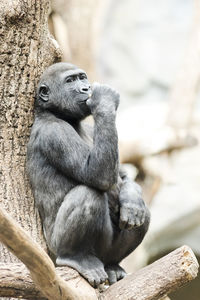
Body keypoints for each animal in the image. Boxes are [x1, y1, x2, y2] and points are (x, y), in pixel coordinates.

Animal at [27, 62, 151, 288]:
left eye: (82, 78)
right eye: (70, 81)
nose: (86, 88)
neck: (57, 114)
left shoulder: (90, 127)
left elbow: (123, 176)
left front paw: (131, 199)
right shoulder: (54, 133)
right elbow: (96, 174)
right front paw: (105, 100)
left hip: (105, 253)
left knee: (141, 213)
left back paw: (113, 263)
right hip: (54, 249)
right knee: (88, 194)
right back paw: (74, 256)